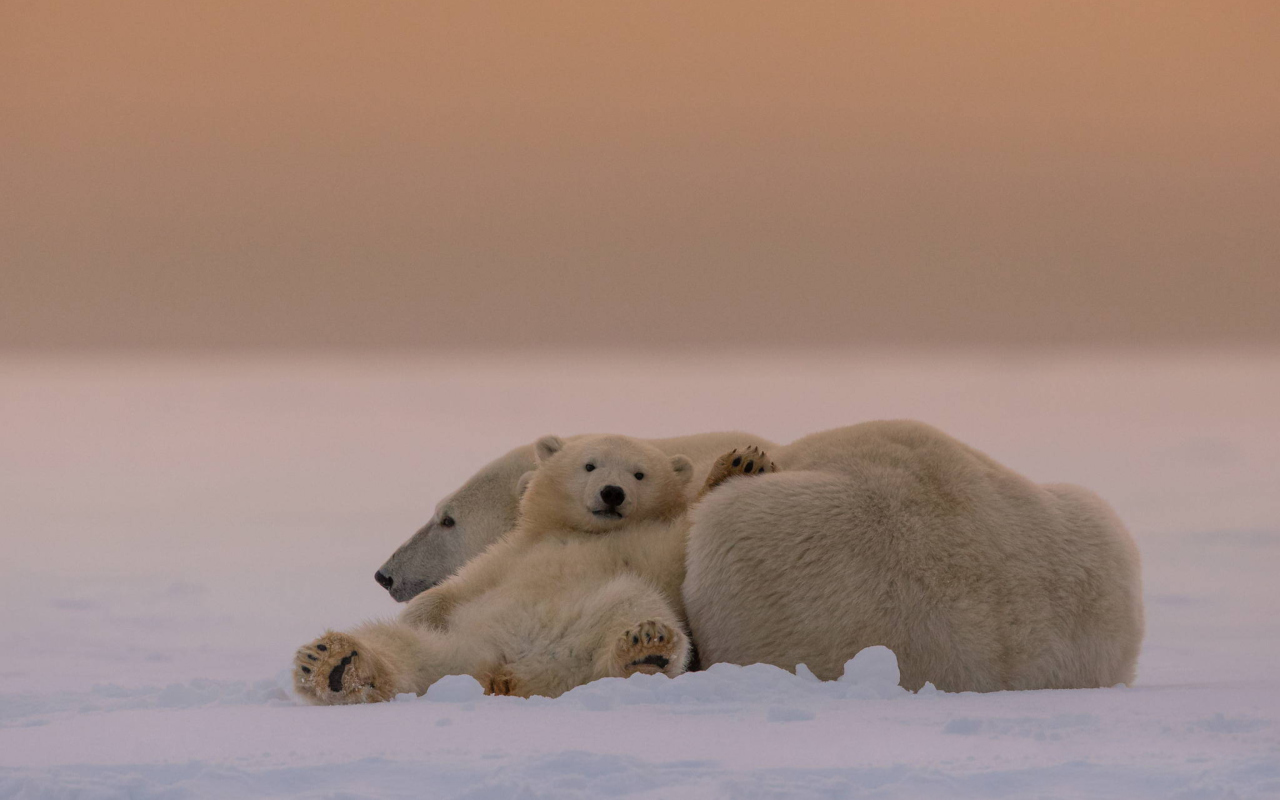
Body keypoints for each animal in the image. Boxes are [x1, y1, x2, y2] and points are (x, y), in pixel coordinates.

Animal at [291, 432, 768, 701]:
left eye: (639, 474)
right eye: (590, 465)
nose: (612, 493)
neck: (579, 532)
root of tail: (506, 673)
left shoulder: (648, 544)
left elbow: (681, 541)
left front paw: (743, 464)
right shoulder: (513, 550)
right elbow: (459, 588)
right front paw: (739, 462)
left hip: (598, 622)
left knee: (634, 608)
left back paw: (646, 647)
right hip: (463, 644)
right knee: (399, 645)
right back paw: (331, 662)